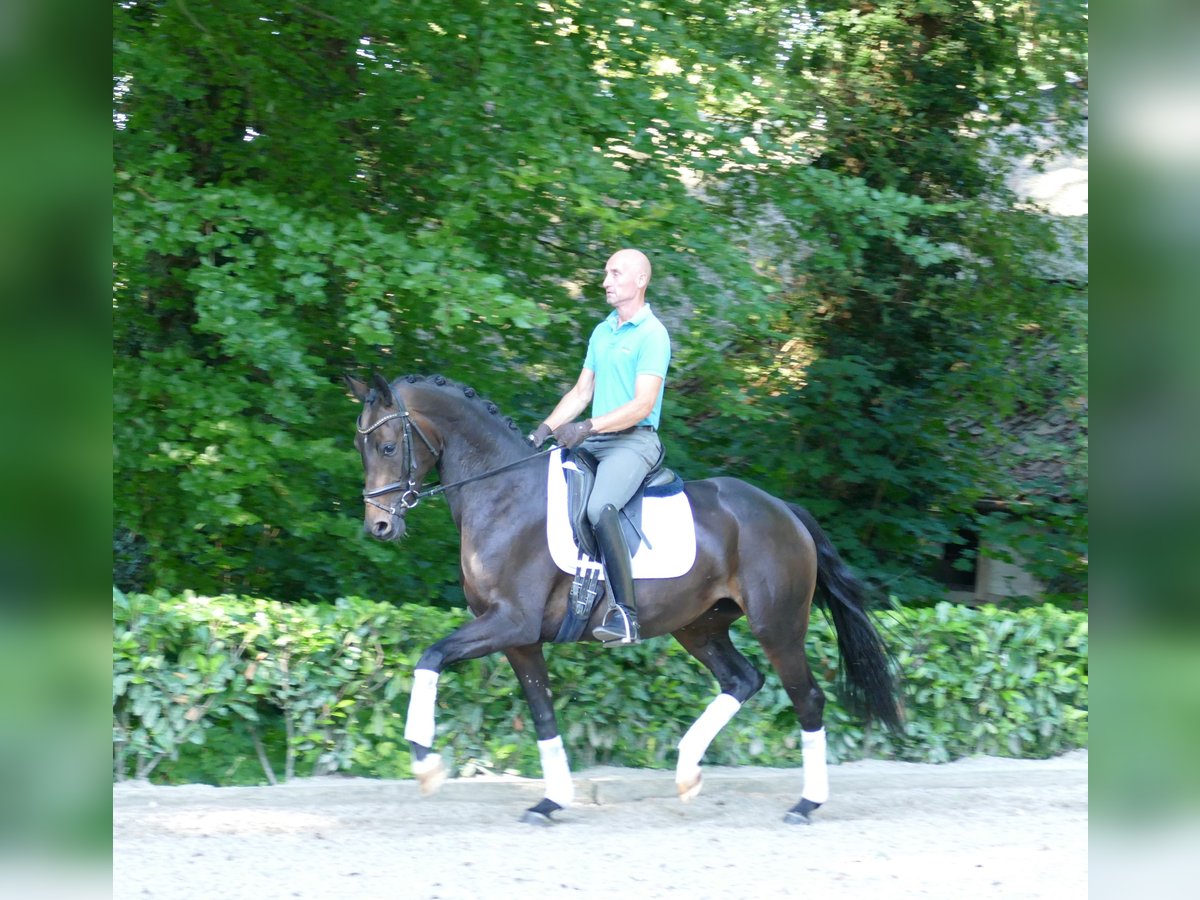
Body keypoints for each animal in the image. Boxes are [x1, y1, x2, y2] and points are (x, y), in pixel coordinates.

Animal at [343, 372, 897, 825]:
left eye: (388, 447)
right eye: (359, 445)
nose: (379, 527)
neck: (502, 492)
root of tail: (782, 508)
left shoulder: (510, 622)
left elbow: (430, 656)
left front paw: (425, 762)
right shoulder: (519, 638)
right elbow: (542, 713)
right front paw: (551, 800)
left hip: (777, 625)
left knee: (807, 699)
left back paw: (806, 803)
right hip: (698, 626)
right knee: (742, 680)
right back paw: (687, 772)